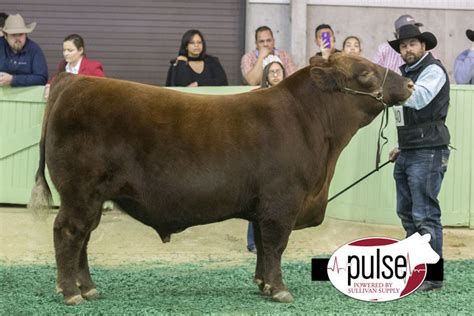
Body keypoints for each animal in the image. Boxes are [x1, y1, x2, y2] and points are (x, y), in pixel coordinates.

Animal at [30, 53, 412, 304]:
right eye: (365, 73)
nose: (409, 82)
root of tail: (74, 80)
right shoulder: (282, 202)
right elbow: (276, 245)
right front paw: (280, 290)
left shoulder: (264, 207)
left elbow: (263, 246)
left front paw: (263, 284)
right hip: (79, 192)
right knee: (69, 233)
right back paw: (70, 293)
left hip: (91, 197)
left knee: (83, 238)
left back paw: (88, 288)